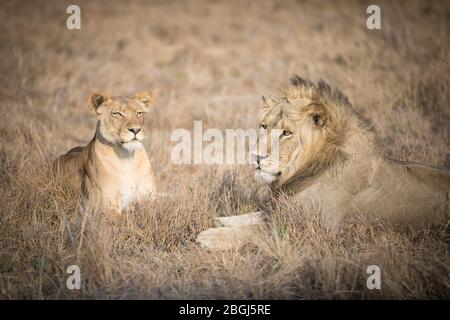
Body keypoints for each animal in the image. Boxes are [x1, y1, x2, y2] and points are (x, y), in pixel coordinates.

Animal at [198, 75, 450, 250]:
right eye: (264, 127)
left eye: (287, 133)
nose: (256, 157)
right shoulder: (286, 208)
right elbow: (258, 216)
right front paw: (222, 221)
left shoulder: (316, 229)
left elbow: (258, 230)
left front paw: (211, 236)